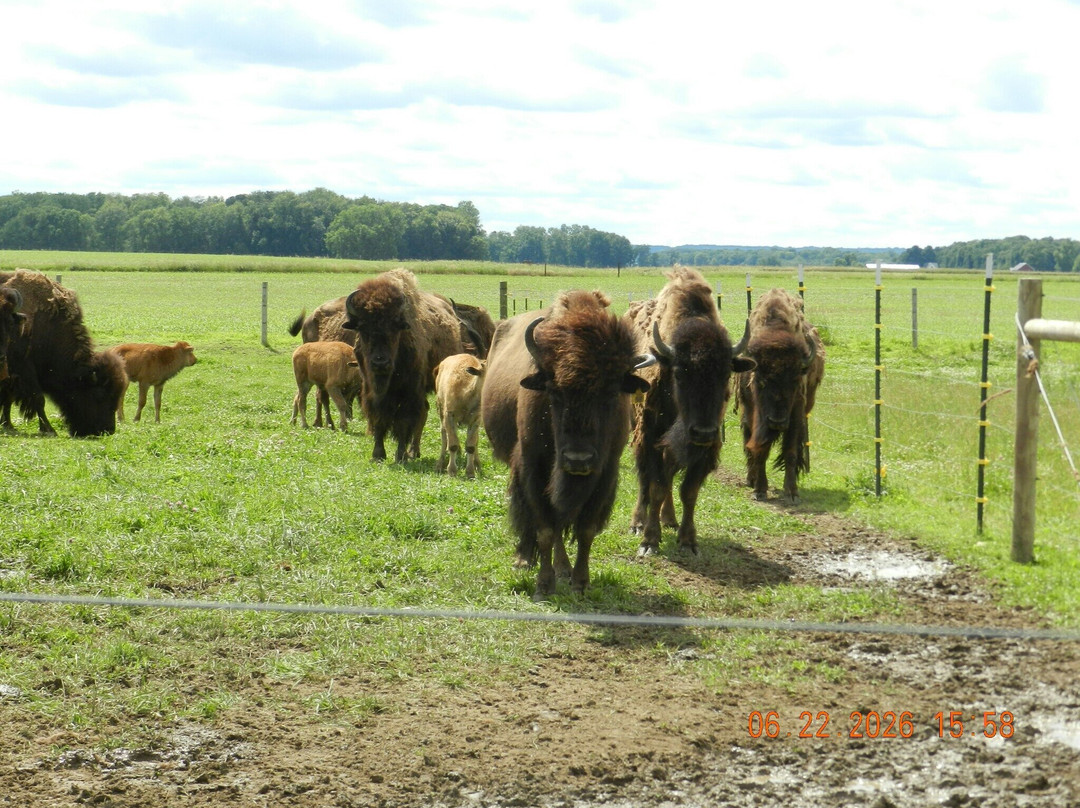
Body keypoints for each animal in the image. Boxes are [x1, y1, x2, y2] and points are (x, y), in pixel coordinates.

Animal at [0, 270, 126, 437]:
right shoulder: (23, 369)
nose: (108, 430)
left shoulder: (13, 375)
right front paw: (49, 429)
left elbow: (9, 398)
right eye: (99, 394)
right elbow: (38, 398)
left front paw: (8, 424)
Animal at [481, 290, 653, 598]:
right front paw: (543, 585)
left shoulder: (605, 474)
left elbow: (585, 530)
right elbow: (545, 529)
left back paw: (563, 568)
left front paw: (581, 582)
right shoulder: (534, 468)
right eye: (554, 391)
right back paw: (525, 559)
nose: (577, 460)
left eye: (611, 393)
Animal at [625, 267, 755, 556]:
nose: (703, 431)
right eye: (679, 373)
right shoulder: (651, 440)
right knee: (644, 482)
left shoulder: (705, 450)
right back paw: (638, 523)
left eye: (725, 374)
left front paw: (688, 541)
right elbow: (656, 486)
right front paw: (648, 541)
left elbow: (688, 491)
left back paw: (670, 519)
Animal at [736, 288, 825, 504]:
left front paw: (792, 492)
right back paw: (751, 479)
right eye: (760, 381)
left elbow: (791, 451)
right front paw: (760, 490)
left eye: (795, 381)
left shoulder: (796, 415)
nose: (777, 422)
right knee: (748, 443)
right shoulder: (755, 416)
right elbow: (760, 450)